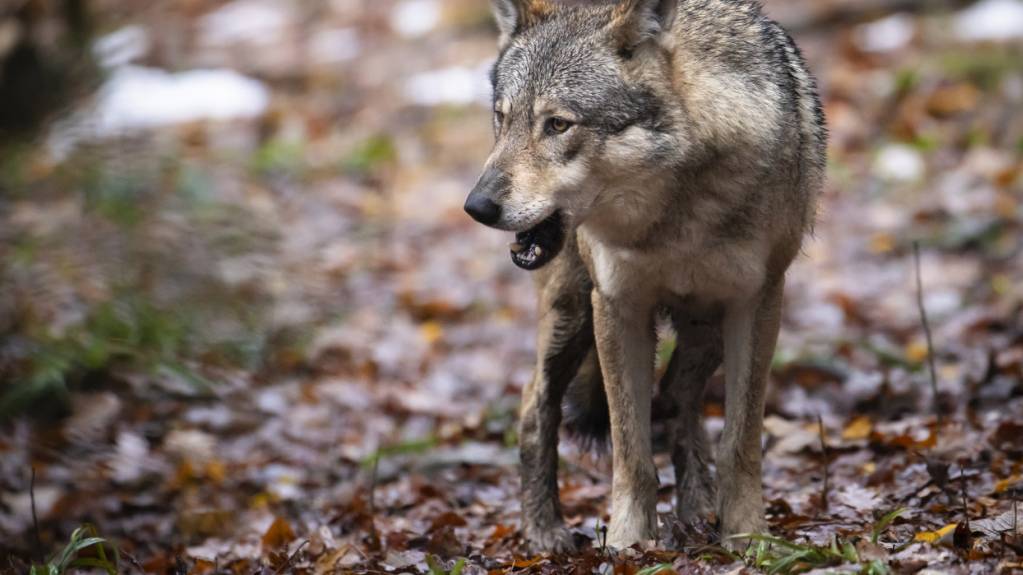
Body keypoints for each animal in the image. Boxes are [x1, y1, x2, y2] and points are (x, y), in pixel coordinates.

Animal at [464, 0, 826, 552]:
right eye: (502, 120)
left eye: (558, 124)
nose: (477, 207)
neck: (674, 215)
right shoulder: (617, 306)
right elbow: (630, 449)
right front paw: (627, 545)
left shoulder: (757, 302)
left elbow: (740, 442)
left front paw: (747, 537)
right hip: (573, 314)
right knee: (535, 403)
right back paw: (544, 531)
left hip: (705, 328)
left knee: (677, 396)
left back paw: (697, 508)